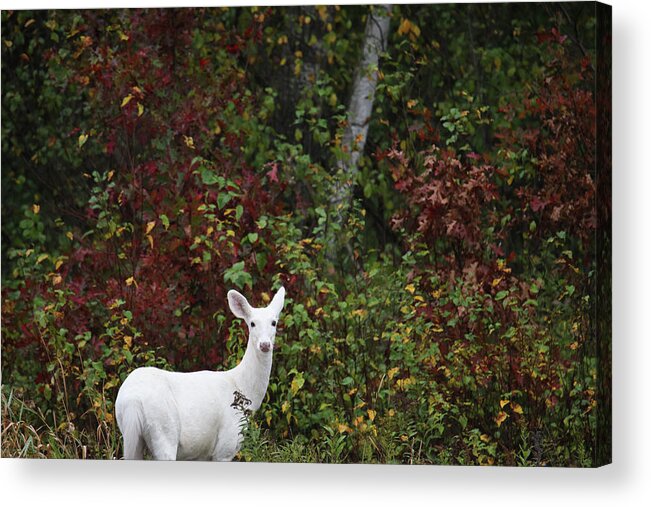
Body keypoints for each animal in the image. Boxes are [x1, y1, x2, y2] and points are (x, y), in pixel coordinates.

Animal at [114, 286, 286, 460]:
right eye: (252, 323)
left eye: (274, 322)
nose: (264, 345)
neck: (242, 386)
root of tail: (132, 400)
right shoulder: (226, 444)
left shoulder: (203, 454)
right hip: (164, 429)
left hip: (131, 433)